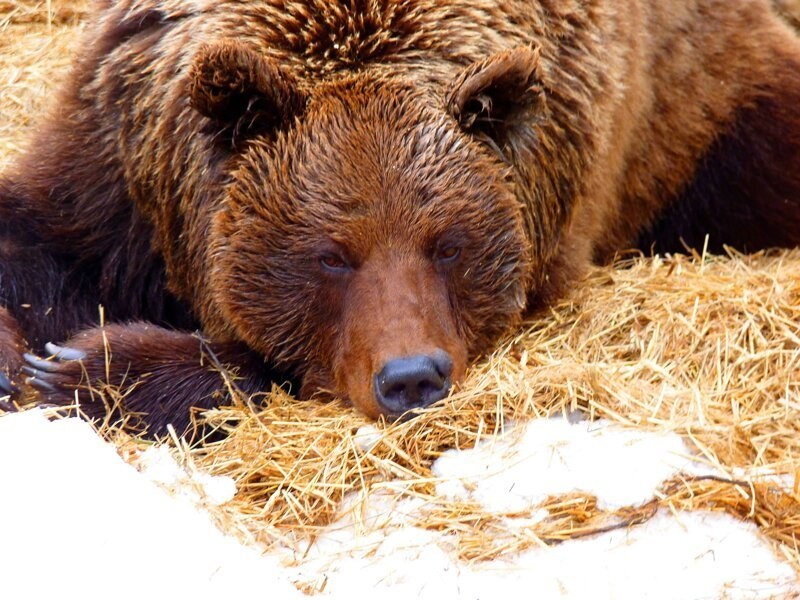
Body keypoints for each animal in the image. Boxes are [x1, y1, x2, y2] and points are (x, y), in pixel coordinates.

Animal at [1, 0, 800, 434]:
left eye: (447, 244)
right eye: (331, 254)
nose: (411, 377)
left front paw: (88, 363)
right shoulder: (123, 150)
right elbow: (39, 237)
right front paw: (26, 359)